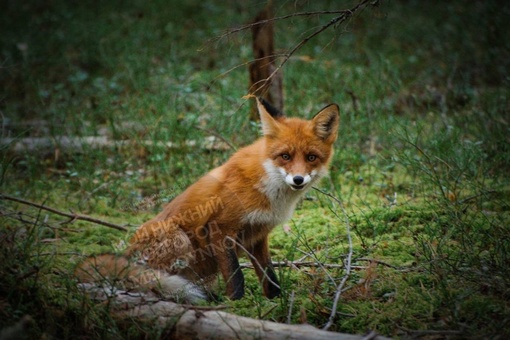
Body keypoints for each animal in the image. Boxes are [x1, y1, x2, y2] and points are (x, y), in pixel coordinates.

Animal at [74, 97, 338, 302]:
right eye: (285, 156)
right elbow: (236, 276)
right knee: (151, 282)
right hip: (179, 240)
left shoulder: (258, 235)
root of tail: (127, 253)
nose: (298, 179)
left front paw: (275, 302)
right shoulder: (220, 228)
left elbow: (269, 276)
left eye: (311, 157)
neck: (268, 187)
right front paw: (237, 306)